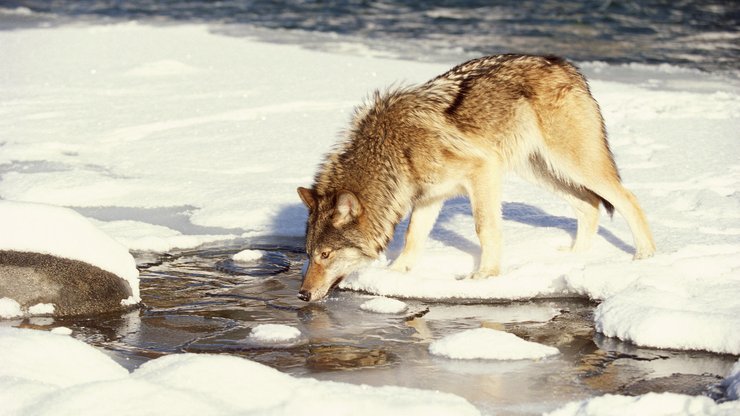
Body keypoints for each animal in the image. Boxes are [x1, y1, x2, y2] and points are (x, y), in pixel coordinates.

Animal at [294, 55, 652, 302]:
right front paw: (395, 275)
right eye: (309, 254)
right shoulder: (429, 197)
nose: (302, 294)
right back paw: (573, 257)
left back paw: (645, 257)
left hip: (573, 164)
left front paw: (485, 276)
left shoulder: (483, 171)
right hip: (541, 171)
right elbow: (412, 237)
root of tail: (569, 67)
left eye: (326, 255)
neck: (391, 151)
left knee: (628, 198)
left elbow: (485, 229)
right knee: (589, 204)